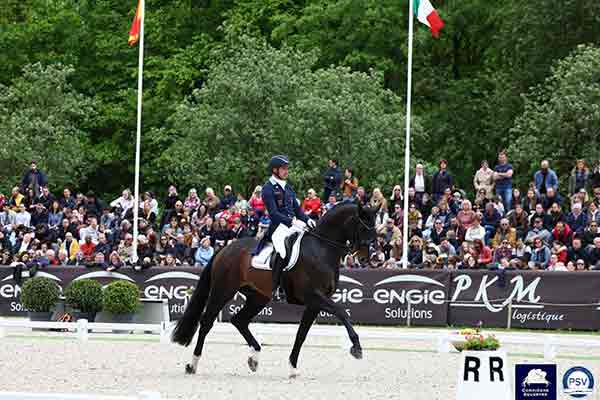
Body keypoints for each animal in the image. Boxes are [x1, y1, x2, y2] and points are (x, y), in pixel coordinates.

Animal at [171, 202, 376, 376]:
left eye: (375, 226)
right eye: (364, 227)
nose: (365, 259)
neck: (322, 248)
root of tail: (225, 250)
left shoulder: (314, 303)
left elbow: (301, 334)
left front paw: (293, 368)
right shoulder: (313, 296)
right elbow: (341, 312)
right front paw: (356, 347)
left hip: (258, 297)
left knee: (239, 320)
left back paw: (254, 358)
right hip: (223, 290)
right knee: (207, 322)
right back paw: (192, 365)